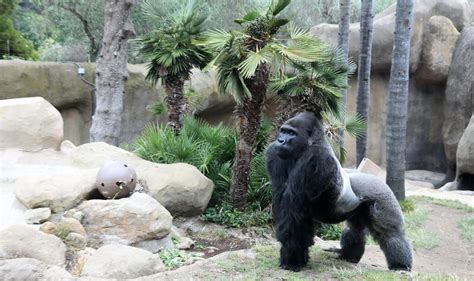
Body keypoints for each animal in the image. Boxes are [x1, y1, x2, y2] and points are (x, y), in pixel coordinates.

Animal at [266, 111, 412, 272]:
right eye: (283, 131)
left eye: (291, 133)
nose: (280, 140)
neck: (310, 143)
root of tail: (377, 178)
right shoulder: (275, 154)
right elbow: (286, 205)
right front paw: (297, 256)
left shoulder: (316, 158)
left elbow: (294, 214)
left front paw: (292, 259)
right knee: (355, 229)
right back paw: (349, 255)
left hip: (382, 196)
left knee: (389, 233)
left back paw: (401, 265)